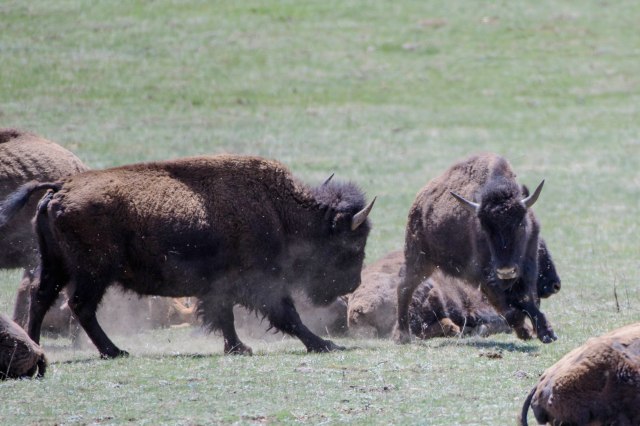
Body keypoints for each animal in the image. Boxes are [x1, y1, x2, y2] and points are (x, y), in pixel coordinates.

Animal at [0, 155, 374, 357]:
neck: (278, 210)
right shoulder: (261, 282)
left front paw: (238, 347)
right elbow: (286, 315)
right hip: (93, 273)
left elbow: (225, 316)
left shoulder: (220, 286)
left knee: (42, 299)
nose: (352, 284)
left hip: (57, 265)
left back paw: (37, 345)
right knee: (79, 306)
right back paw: (114, 351)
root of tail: (60, 187)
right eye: (352, 246)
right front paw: (324, 344)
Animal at [396, 153, 557, 344]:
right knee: (404, 287)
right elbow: (511, 305)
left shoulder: (527, 268)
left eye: (521, 224)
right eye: (485, 229)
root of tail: (419, 202)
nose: (506, 270)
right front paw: (527, 330)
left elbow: (527, 299)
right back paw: (403, 335)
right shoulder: (485, 276)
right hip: (419, 260)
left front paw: (546, 333)